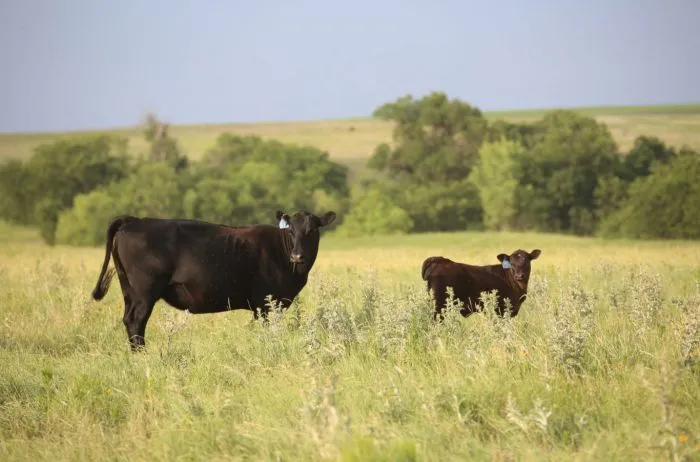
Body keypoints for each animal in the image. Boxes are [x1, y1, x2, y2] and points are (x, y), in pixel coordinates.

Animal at [91, 210, 336, 351]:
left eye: (312, 230)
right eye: (290, 232)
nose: (297, 256)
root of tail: (135, 220)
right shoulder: (266, 303)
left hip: (128, 289)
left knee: (128, 319)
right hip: (144, 291)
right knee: (137, 321)